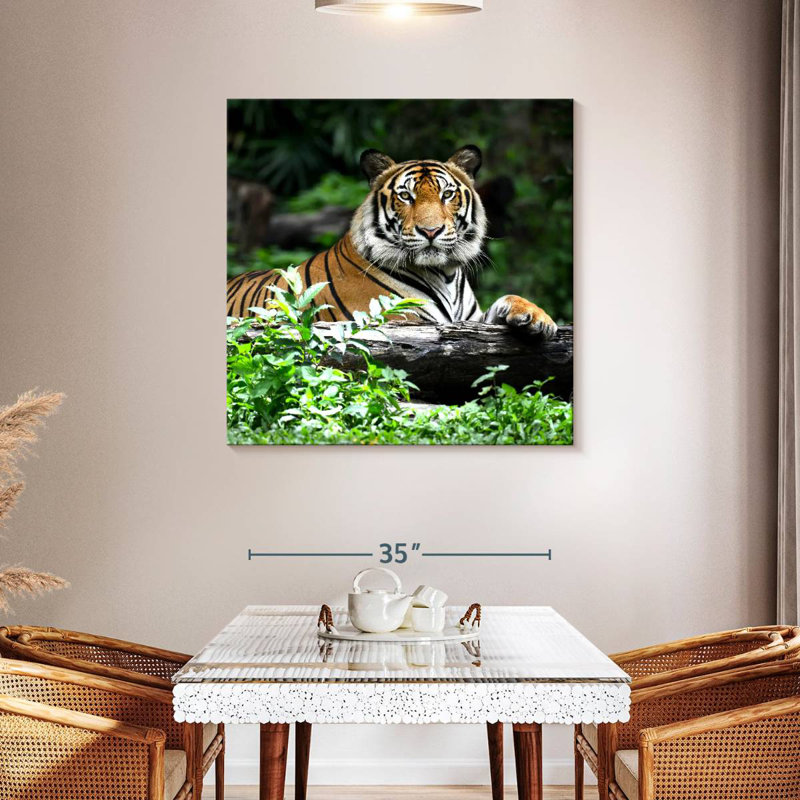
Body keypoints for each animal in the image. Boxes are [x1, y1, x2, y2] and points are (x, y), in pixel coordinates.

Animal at [227, 145, 557, 338]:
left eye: (447, 194)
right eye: (406, 196)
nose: (431, 231)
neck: (446, 274)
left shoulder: (470, 319)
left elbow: (507, 299)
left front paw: (537, 318)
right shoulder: (402, 319)